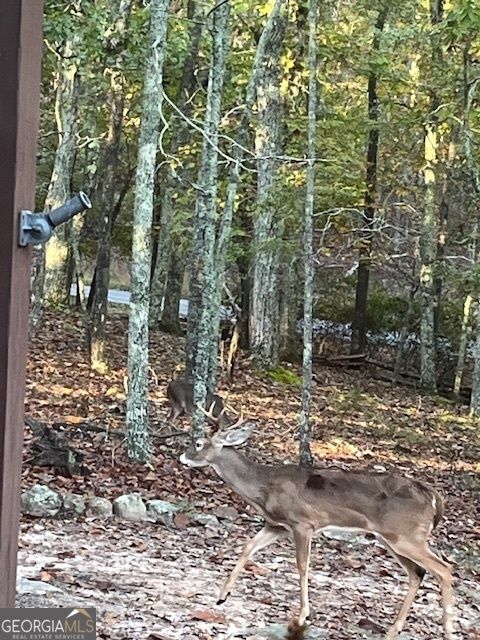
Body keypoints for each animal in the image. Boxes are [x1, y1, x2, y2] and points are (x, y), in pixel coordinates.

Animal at [180, 410, 454, 640]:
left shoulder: (303, 522)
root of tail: (434, 497)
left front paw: (302, 615)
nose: (182, 456)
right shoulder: (277, 525)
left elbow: (302, 566)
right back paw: (393, 630)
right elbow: (248, 547)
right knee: (418, 573)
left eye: (198, 443)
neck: (264, 487)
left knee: (444, 568)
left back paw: (448, 630)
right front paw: (221, 596)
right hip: (392, 537)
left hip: (406, 535)